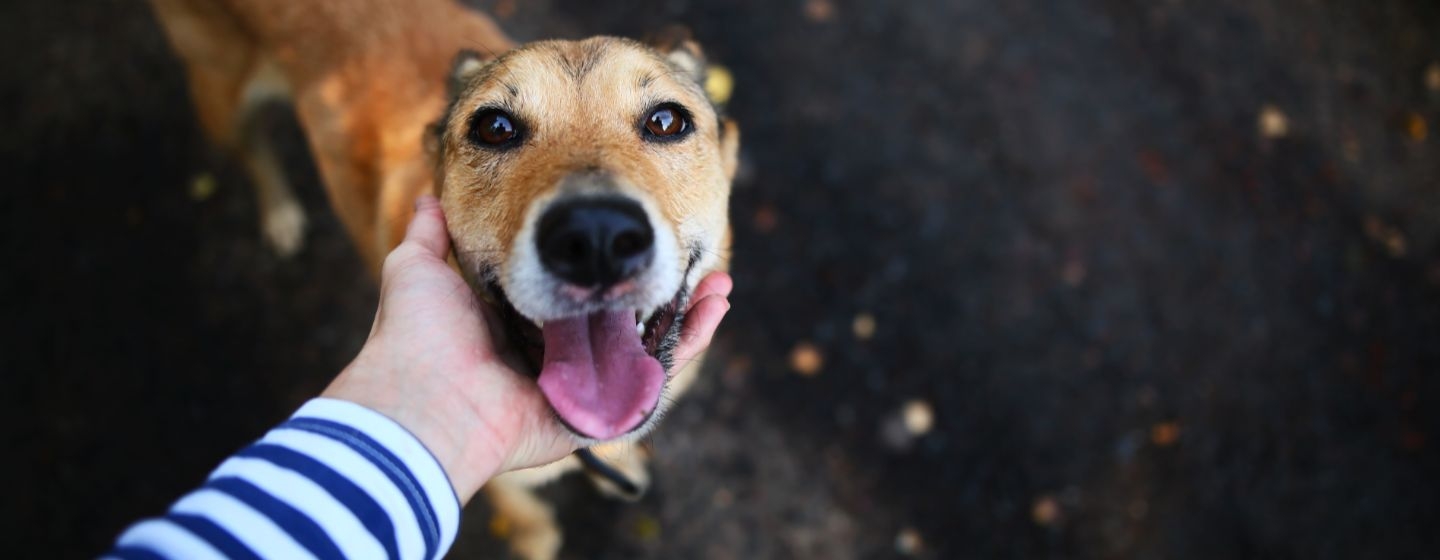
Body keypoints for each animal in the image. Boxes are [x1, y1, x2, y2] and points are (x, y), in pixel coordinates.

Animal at [146, 2, 743, 555]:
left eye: (666, 121)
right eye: (495, 127)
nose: (595, 238)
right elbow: (527, 518)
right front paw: (536, 536)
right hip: (219, 94)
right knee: (252, 150)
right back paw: (280, 213)